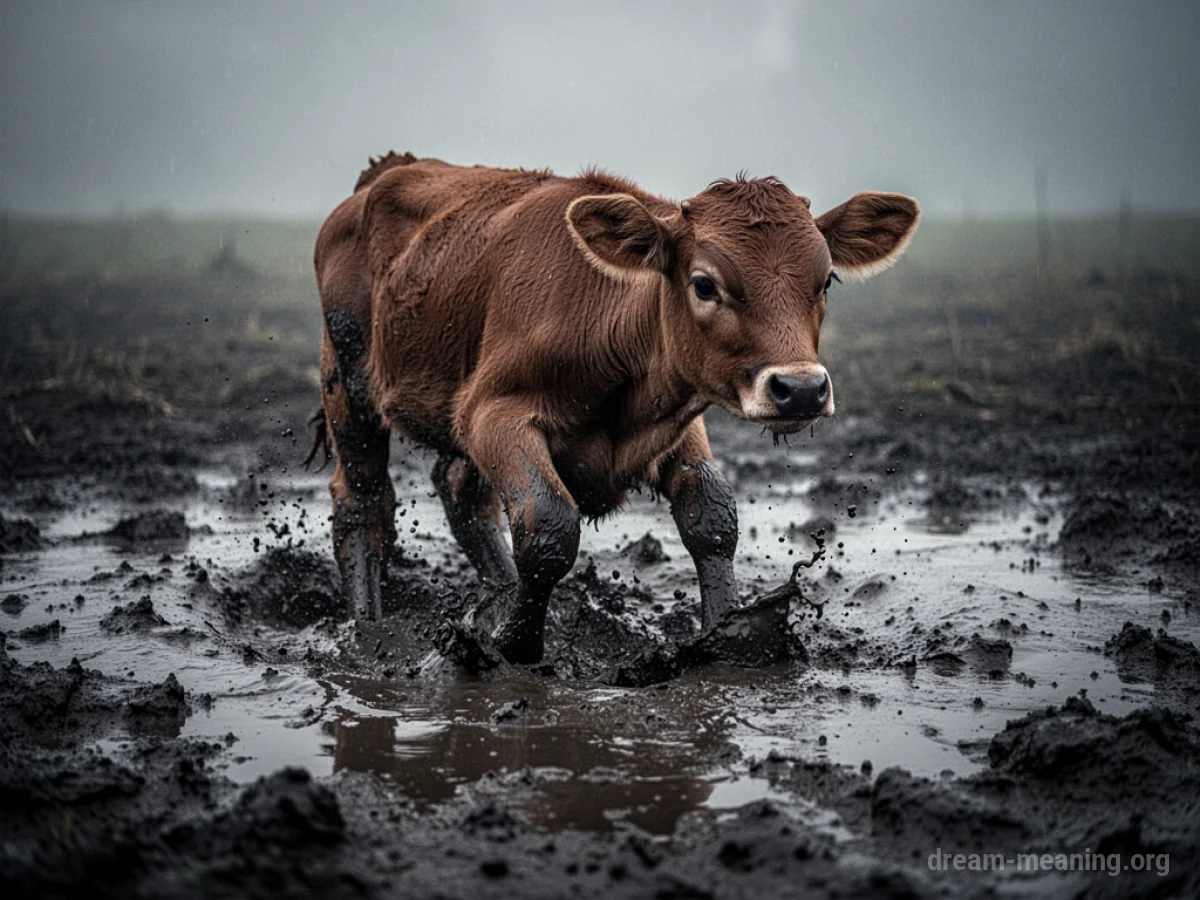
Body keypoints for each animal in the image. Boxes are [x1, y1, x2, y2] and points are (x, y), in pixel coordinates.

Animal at [311, 152, 918, 664]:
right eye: (704, 284)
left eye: (826, 280)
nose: (801, 388)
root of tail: (385, 175)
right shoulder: (490, 412)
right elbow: (549, 526)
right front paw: (513, 643)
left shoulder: (678, 420)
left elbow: (712, 517)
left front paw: (725, 633)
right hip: (348, 381)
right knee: (363, 501)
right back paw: (368, 627)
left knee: (460, 491)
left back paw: (497, 591)